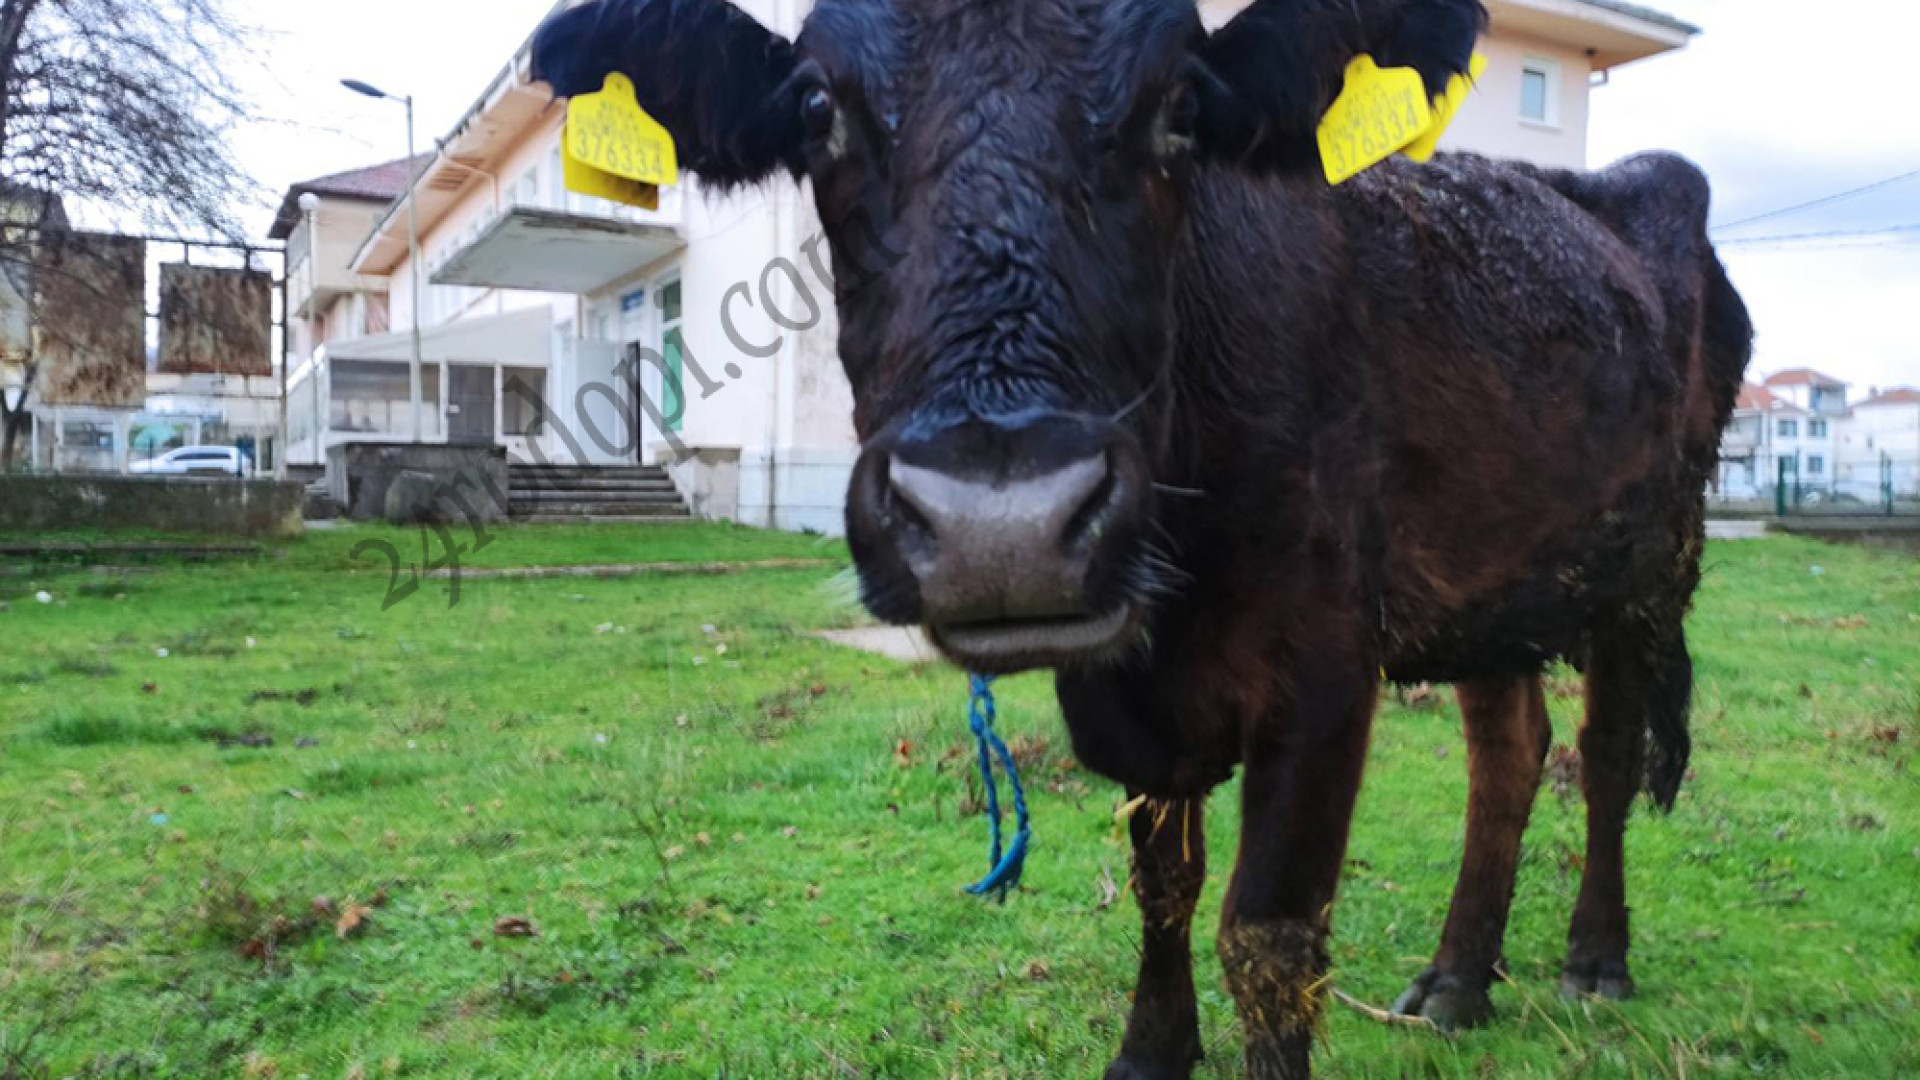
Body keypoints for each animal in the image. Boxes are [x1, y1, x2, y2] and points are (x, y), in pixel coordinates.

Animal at [533, 4, 1751, 1068]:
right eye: (817, 108)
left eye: (1181, 106)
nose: (1002, 523)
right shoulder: (1127, 684)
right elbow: (1164, 876)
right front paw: (1152, 1050)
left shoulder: (1325, 667)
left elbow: (1268, 937)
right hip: (1497, 580)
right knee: (1509, 747)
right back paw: (1457, 979)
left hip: (1654, 558)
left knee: (1605, 751)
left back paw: (1594, 958)